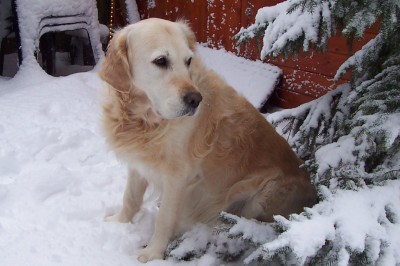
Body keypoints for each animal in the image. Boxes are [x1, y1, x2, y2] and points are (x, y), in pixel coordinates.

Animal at [99, 18, 316, 262]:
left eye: (188, 61)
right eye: (161, 61)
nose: (195, 99)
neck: (146, 120)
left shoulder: (178, 176)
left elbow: (164, 219)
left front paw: (152, 253)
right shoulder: (139, 162)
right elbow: (131, 198)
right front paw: (118, 222)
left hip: (262, 194)